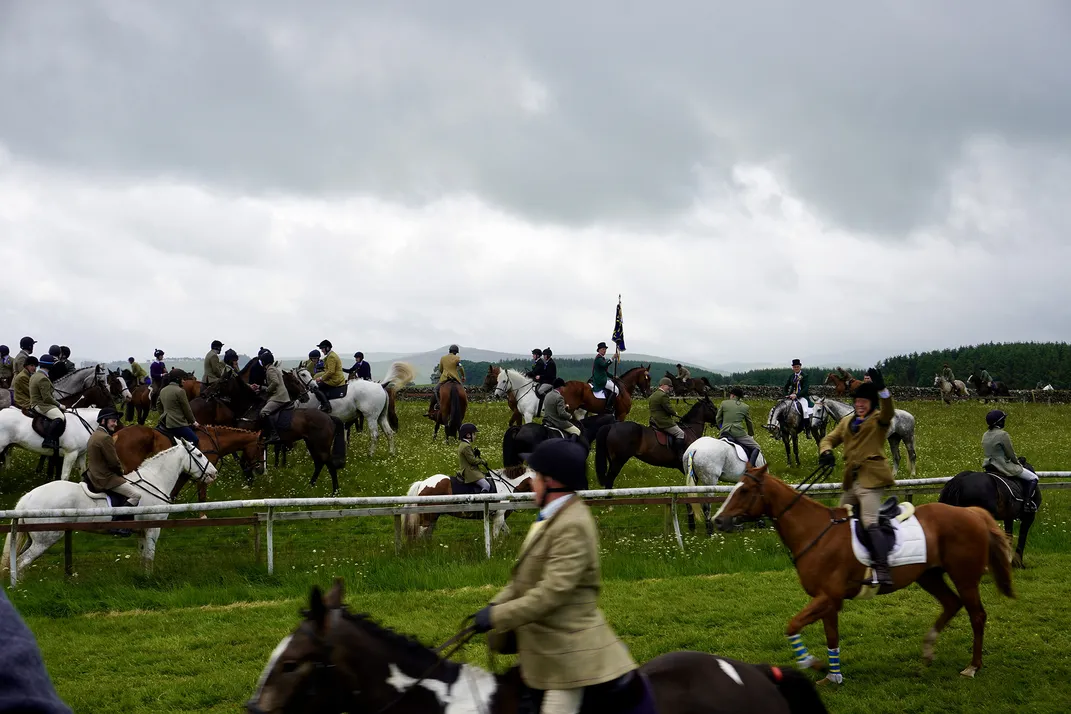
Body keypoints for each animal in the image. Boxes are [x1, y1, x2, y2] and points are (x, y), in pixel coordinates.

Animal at [2, 441, 217, 582]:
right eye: (199, 455)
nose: (214, 473)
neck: (154, 480)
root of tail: (28, 497)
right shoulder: (152, 528)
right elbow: (149, 556)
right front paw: (149, 579)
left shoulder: (142, 530)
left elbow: (143, 556)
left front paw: (142, 577)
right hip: (45, 539)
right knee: (21, 562)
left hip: (32, 538)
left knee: (19, 562)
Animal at [284, 363, 413, 458]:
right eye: (303, 374)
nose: (314, 386)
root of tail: (380, 385)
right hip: (381, 417)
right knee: (389, 433)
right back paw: (391, 453)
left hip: (371, 417)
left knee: (375, 435)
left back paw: (370, 454)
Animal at [402, 468, 535, 541]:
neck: (505, 485)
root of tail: (422, 483)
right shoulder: (499, 516)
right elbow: (496, 535)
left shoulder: (498, 517)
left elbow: (506, 532)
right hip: (428, 517)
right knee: (420, 533)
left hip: (433, 516)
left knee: (427, 533)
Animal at [715, 468, 1015, 680]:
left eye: (745, 490)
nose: (718, 520)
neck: (815, 532)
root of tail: (972, 513)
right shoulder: (828, 601)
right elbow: (831, 637)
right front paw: (832, 676)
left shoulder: (828, 596)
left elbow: (792, 625)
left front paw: (811, 663)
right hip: (929, 576)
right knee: (952, 604)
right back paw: (928, 650)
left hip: (965, 578)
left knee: (977, 615)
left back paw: (972, 666)